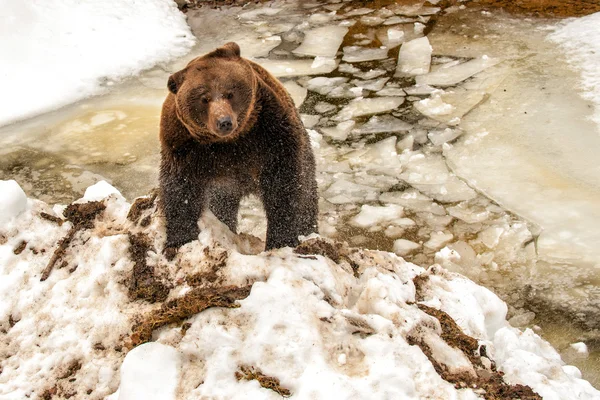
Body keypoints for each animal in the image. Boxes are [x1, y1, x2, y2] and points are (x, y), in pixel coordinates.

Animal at [158, 42, 318, 258]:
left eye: (230, 93)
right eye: (204, 98)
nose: (224, 121)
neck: (229, 143)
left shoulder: (272, 134)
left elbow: (283, 187)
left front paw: (281, 241)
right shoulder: (182, 146)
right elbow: (180, 191)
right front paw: (178, 241)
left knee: (307, 193)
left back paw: (309, 232)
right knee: (222, 206)